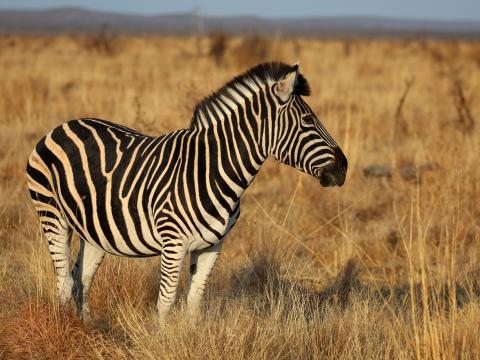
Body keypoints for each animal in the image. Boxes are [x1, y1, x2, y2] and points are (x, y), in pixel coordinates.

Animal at [26, 62, 346, 320]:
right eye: (308, 121)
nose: (343, 167)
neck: (213, 169)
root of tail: (60, 126)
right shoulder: (173, 243)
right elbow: (166, 303)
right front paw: (161, 343)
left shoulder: (213, 245)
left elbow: (194, 301)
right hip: (52, 215)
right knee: (64, 281)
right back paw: (65, 329)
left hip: (94, 230)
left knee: (82, 279)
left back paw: (86, 327)